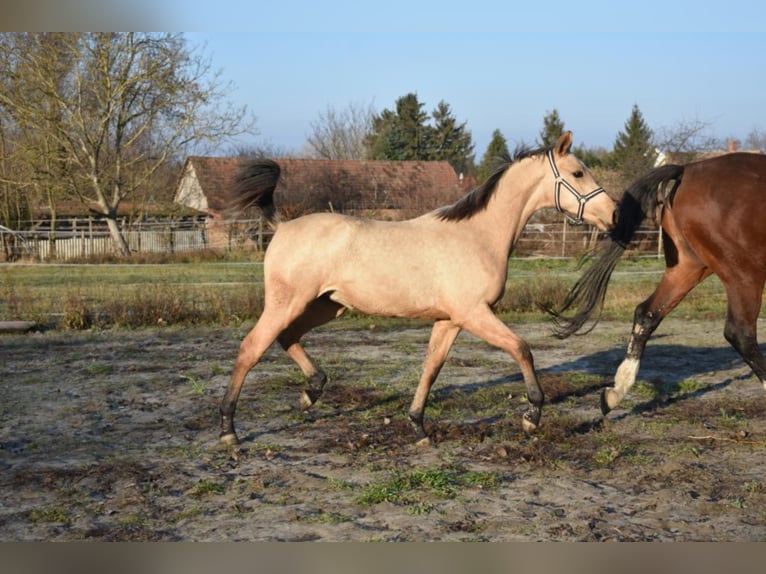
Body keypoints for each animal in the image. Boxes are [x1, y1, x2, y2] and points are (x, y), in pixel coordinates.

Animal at [219, 133, 616, 448]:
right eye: (578, 173)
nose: (614, 215)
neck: (478, 235)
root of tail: (282, 227)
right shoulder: (474, 313)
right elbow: (522, 349)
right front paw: (531, 416)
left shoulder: (450, 320)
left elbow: (431, 368)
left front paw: (418, 427)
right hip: (288, 303)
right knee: (251, 349)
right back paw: (229, 431)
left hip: (326, 306)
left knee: (287, 337)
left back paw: (311, 392)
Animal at [548, 151, 766, 416]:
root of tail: (687, 170)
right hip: (744, 273)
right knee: (740, 333)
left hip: (689, 267)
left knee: (647, 313)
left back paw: (615, 393)